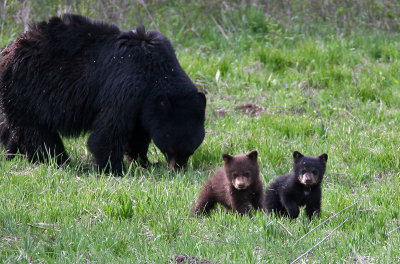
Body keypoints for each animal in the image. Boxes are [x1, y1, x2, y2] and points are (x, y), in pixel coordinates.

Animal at [0, 13, 206, 174]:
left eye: (191, 149)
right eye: (170, 146)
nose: (178, 169)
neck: (155, 72)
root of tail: (7, 51)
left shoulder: (142, 105)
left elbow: (138, 133)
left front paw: (144, 162)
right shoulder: (125, 85)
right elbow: (110, 129)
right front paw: (114, 169)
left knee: (12, 127)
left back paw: (12, 153)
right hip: (27, 90)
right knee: (36, 132)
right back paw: (58, 159)